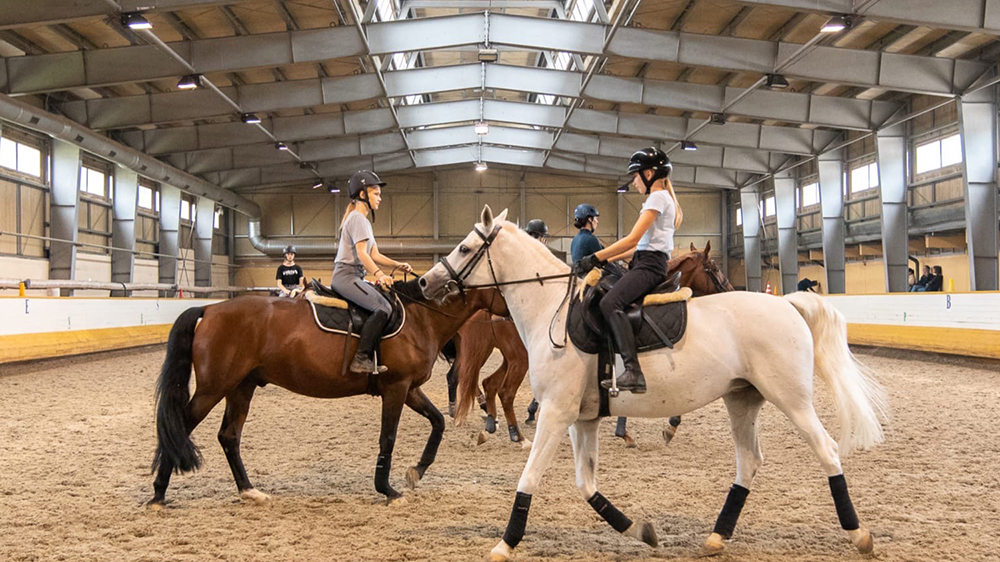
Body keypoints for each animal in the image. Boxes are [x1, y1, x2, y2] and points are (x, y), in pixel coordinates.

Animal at [146, 278, 508, 504]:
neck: (420, 317)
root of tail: (209, 309)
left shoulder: (409, 389)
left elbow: (438, 422)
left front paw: (416, 472)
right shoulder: (396, 387)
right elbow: (388, 438)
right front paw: (387, 489)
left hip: (241, 387)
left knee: (229, 436)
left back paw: (249, 491)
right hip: (214, 388)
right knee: (181, 426)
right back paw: (159, 494)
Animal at [450, 241, 732, 446]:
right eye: (715, 268)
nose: (728, 290)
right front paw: (660, 428)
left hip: (510, 357)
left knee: (490, 383)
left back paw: (491, 426)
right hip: (519, 359)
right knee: (505, 391)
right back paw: (516, 434)